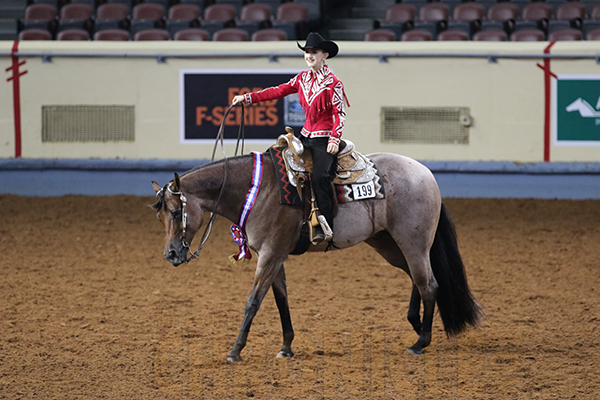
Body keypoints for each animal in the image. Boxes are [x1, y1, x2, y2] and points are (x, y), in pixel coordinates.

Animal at [152, 151, 480, 362]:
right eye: (161, 216)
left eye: (178, 212)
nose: (171, 254)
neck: (258, 190)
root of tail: (425, 173)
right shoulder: (275, 256)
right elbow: (281, 300)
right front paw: (286, 347)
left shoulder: (269, 255)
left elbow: (253, 302)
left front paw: (235, 351)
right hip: (388, 243)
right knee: (417, 278)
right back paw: (416, 325)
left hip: (413, 242)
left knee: (429, 285)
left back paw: (420, 342)